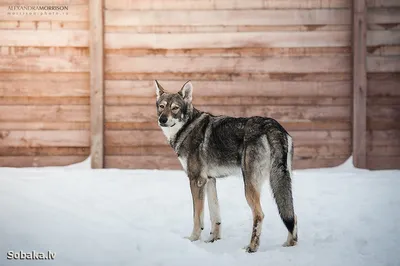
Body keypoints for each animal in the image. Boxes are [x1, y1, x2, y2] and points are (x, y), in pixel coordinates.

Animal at [155, 80, 298, 252]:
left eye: (175, 108)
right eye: (162, 106)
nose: (162, 119)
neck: (187, 128)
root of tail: (272, 126)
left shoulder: (196, 181)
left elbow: (197, 216)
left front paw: (193, 239)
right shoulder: (210, 180)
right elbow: (215, 215)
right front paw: (213, 240)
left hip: (249, 186)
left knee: (260, 214)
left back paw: (252, 248)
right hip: (281, 181)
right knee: (292, 214)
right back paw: (290, 244)